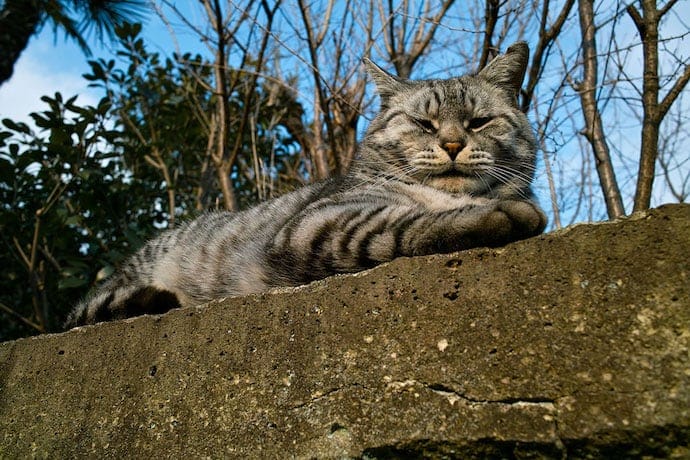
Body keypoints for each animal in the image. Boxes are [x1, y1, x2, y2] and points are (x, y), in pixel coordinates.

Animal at [66, 42, 548, 328]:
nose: (451, 144)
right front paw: (497, 214)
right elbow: (409, 225)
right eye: (422, 124)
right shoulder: (320, 222)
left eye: (479, 122)